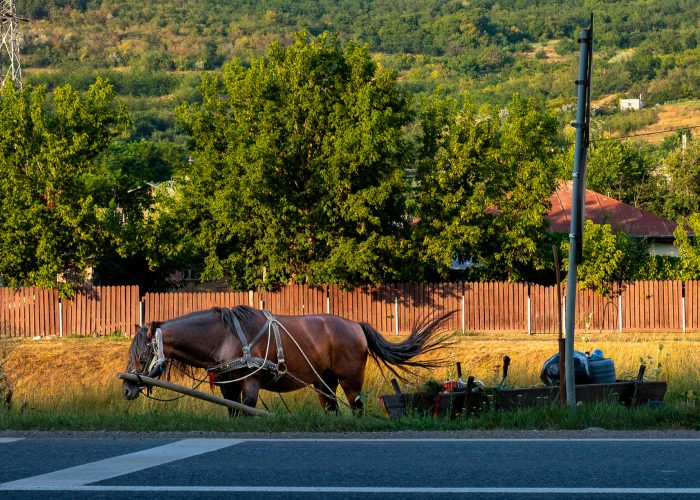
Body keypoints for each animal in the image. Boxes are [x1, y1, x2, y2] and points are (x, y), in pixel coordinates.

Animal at [123, 304, 454, 414]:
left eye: (142, 353)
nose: (126, 388)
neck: (226, 337)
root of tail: (356, 325)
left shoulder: (251, 385)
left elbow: (248, 412)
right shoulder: (228, 387)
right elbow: (234, 414)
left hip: (350, 380)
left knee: (357, 407)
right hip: (323, 383)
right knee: (333, 408)